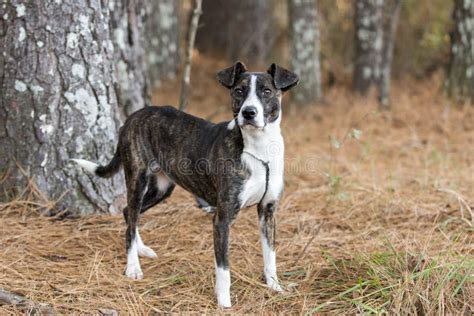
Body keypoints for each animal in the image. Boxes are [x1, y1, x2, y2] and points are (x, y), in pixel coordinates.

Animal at [71, 62, 298, 308]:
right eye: (239, 91)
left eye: (266, 91)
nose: (248, 112)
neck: (259, 148)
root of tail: (133, 116)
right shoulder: (222, 218)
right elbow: (224, 268)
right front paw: (224, 302)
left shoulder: (268, 211)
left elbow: (270, 255)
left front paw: (275, 287)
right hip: (137, 179)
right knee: (130, 220)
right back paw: (133, 267)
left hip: (162, 188)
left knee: (128, 213)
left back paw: (141, 249)